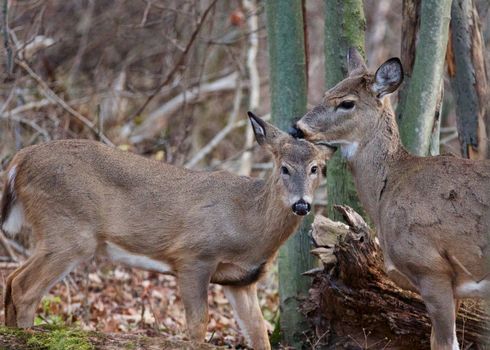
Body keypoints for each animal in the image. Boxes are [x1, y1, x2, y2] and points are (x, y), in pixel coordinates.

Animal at [1, 113, 332, 348]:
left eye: (316, 168)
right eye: (284, 168)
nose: (301, 204)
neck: (247, 224)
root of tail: (18, 161)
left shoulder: (241, 281)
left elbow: (259, 333)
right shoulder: (193, 256)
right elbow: (198, 325)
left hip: (55, 233)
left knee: (12, 278)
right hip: (69, 230)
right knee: (25, 289)